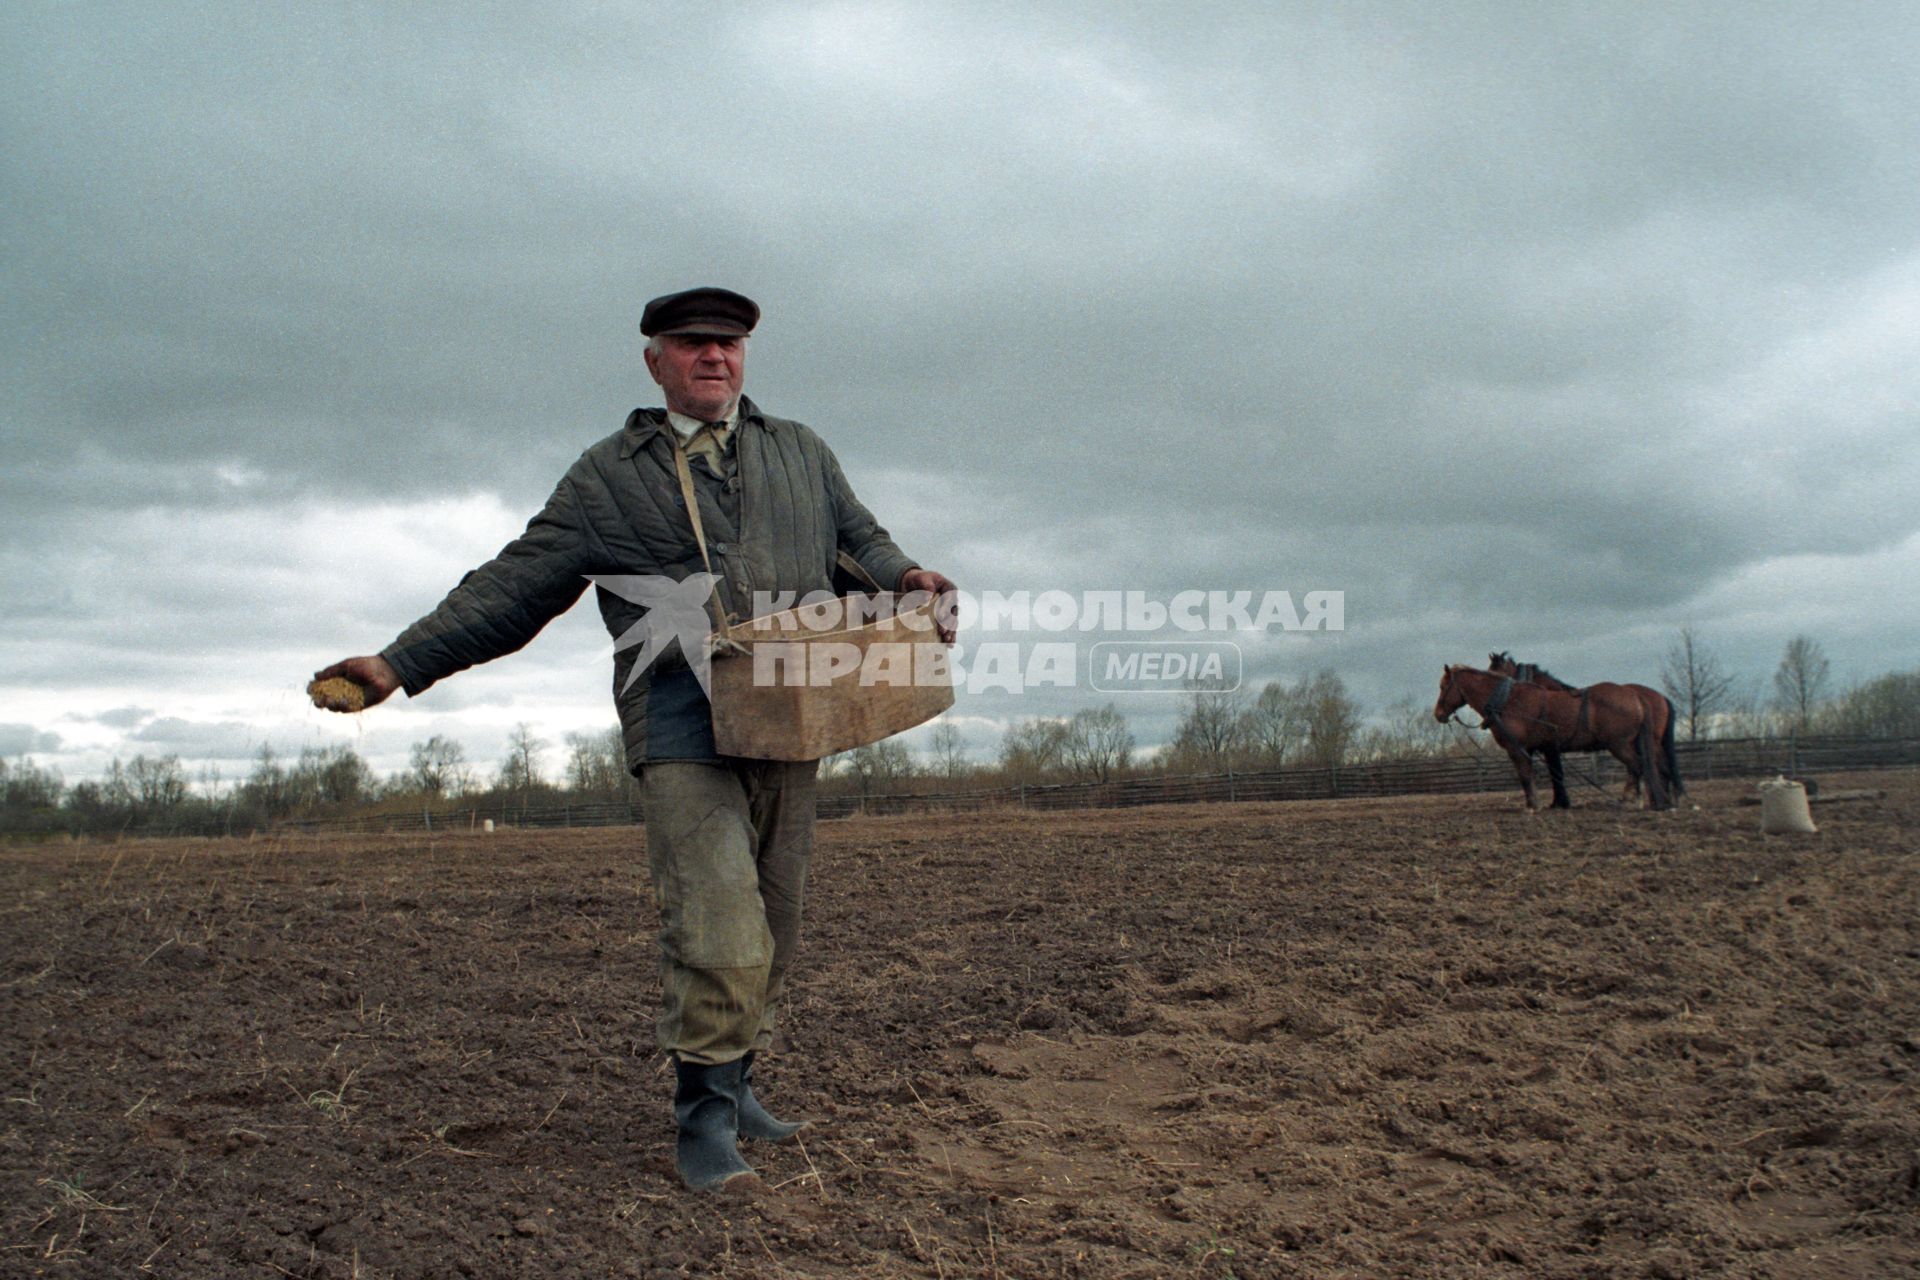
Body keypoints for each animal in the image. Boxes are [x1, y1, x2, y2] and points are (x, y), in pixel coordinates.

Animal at [1436, 671, 1674, 809]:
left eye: (1443, 686)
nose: (1438, 714)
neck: (1508, 701)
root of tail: (1636, 697)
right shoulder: (1537, 749)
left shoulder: (1517, 749)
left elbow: (1525, 777)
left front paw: (1532, 805)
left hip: (1619, 745)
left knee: (1637, 766)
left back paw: (1629, 799)